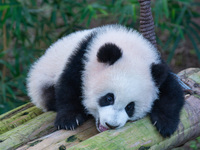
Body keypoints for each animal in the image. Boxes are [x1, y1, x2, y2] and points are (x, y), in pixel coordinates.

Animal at [26, 24, 184, 137]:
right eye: (109, 98)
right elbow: (68, 87)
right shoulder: (82, 59)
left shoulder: (156, 68)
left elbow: (171, 91)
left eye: (130, 107)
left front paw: (165, 123)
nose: (111, 125)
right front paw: (69, 120)